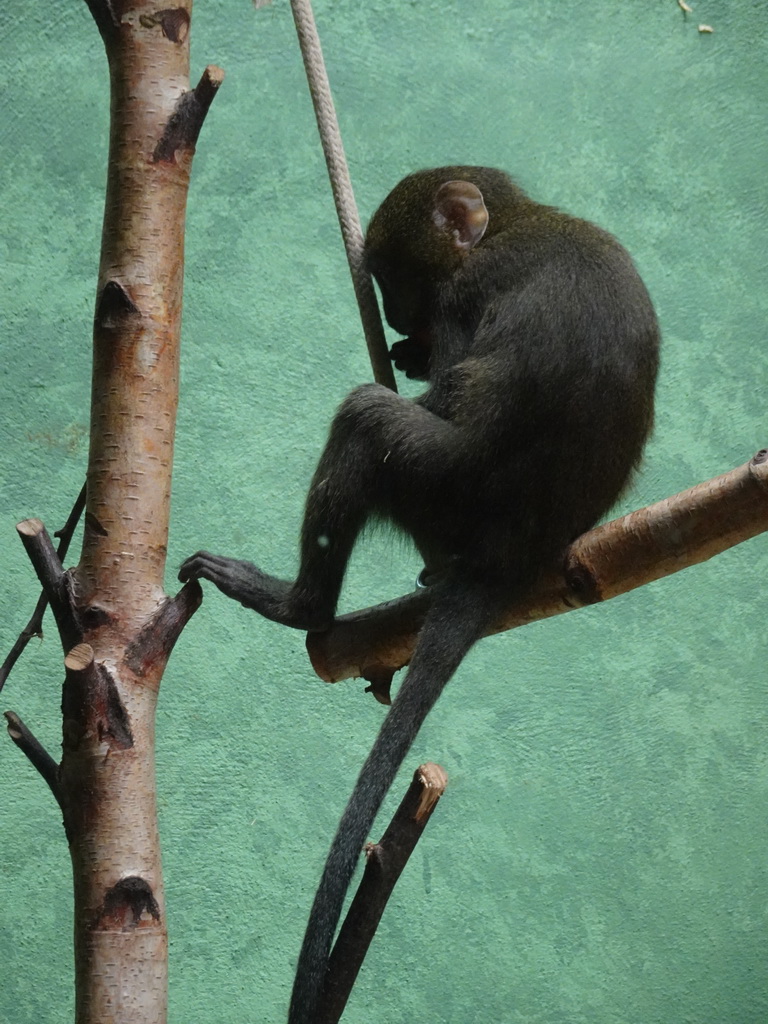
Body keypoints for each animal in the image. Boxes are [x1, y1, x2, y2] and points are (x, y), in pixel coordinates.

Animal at [179, 163, 663, 1019]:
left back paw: (300, 602)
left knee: (370, 418)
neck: (512, 222)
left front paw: (417, 353)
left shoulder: (467, 293)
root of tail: (512, 552)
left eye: (399, 278)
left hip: (442, 488)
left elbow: (447, 390)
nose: (400, 314)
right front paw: (407, 348)